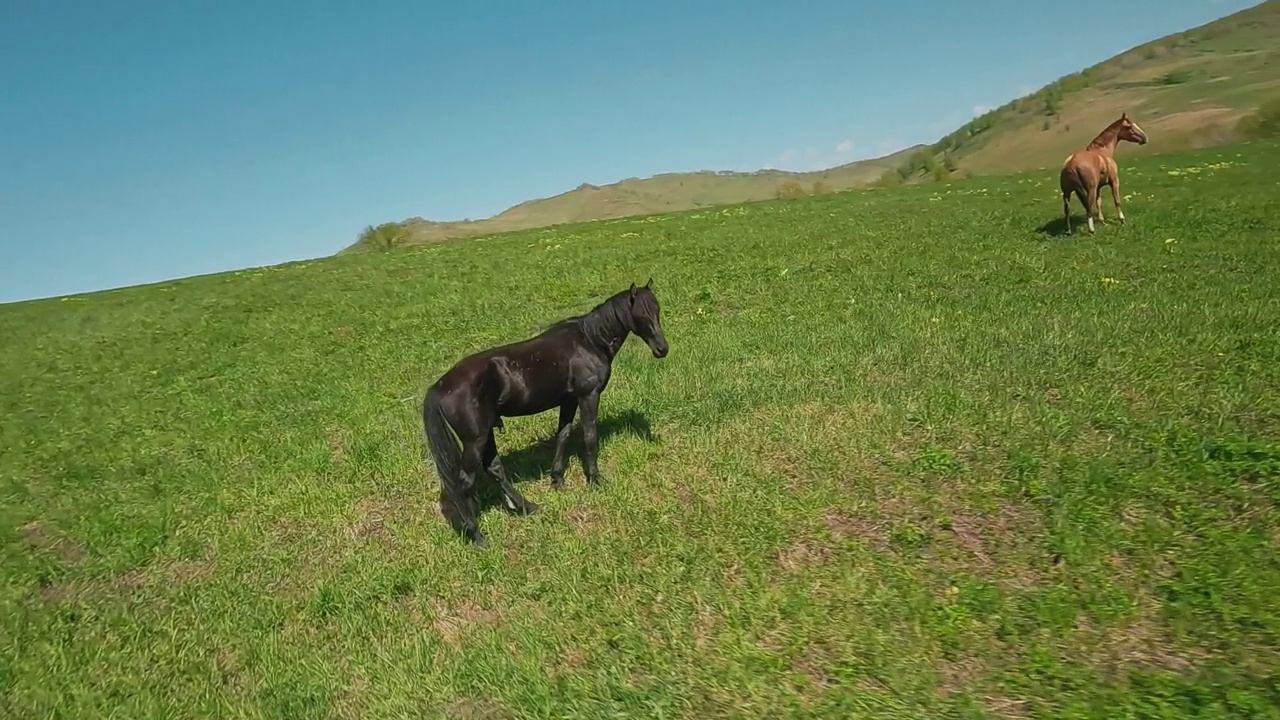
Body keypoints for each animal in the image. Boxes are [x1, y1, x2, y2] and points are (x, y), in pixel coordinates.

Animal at [427, 278, 675, 540]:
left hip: (486, 434)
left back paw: (527, 507)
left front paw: (557, 479)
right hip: (475, 440)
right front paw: (595, 479)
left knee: (495, 470)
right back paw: (476, 534)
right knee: (465, 483)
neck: (589, 340)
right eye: (641, 314)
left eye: (657, 310)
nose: (662, 349)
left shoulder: (569, 400)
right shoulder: (588, 396)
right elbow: (589, 436)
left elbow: (563, 435)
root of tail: (438, 387)